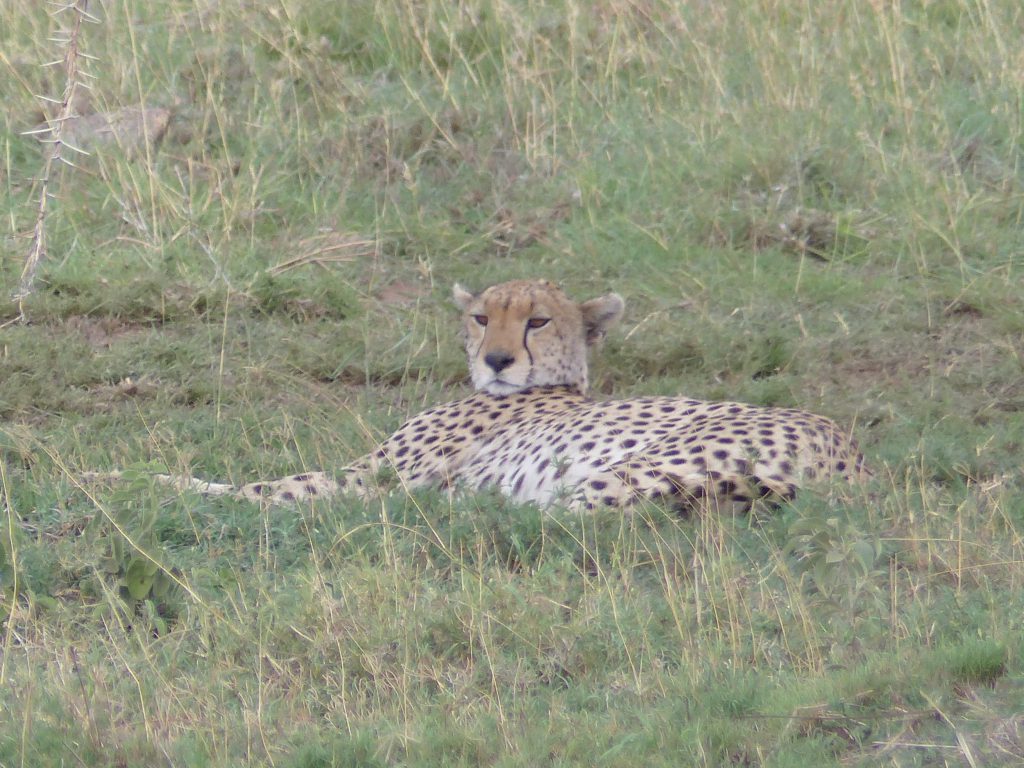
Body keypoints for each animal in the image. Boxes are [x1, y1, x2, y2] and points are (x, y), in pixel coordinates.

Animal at [92, 280, 868, 514]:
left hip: (623, 473)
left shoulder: (366, 478)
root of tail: (851, 462)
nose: (496, 358)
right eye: (479, 316)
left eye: (537, 321)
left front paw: (118, 481)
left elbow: (252, 488)